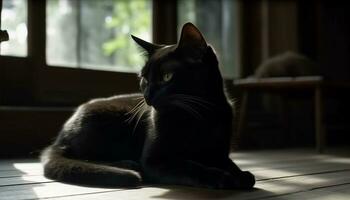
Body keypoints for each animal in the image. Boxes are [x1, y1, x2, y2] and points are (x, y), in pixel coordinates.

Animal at [41, 23, 256, 189]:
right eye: (144, 79)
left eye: (167, 77)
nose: (147, 95)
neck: (198, 115)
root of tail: (60, 138)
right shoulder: (155, 161)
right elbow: (189, 165)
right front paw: (221, 177)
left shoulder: (218, 152)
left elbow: (228, 162)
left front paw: (242, 175)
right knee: (84, 157)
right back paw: (128, 165)